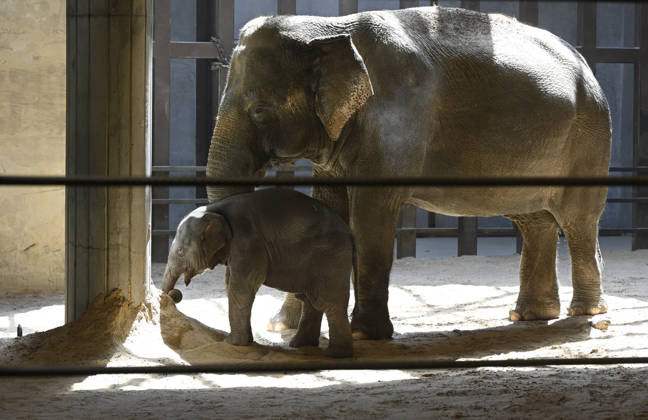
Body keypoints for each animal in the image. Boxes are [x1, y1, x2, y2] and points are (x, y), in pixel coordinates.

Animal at [161, 188, 356, 357]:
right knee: (312, 300)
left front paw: (232, 343)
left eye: (180, 252)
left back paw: (336, 354)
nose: (174, 294)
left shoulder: (248, 243)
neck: (216, 209)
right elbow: (231, 283)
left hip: (332, 258)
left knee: (330, 302)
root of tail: (350, 232)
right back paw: (299, 345)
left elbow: (241, 287)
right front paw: (242, 342)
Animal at [205, 6, 611, 339]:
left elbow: (370, 214)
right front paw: (283, 326)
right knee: (534, 220)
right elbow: (328, 207)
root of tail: (586, 64)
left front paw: (363, 334)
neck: (329, 27)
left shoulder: (394, 118)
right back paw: (529, 316)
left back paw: (585, 312)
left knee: (577, 220)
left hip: (588, 136)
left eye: (259, 110)